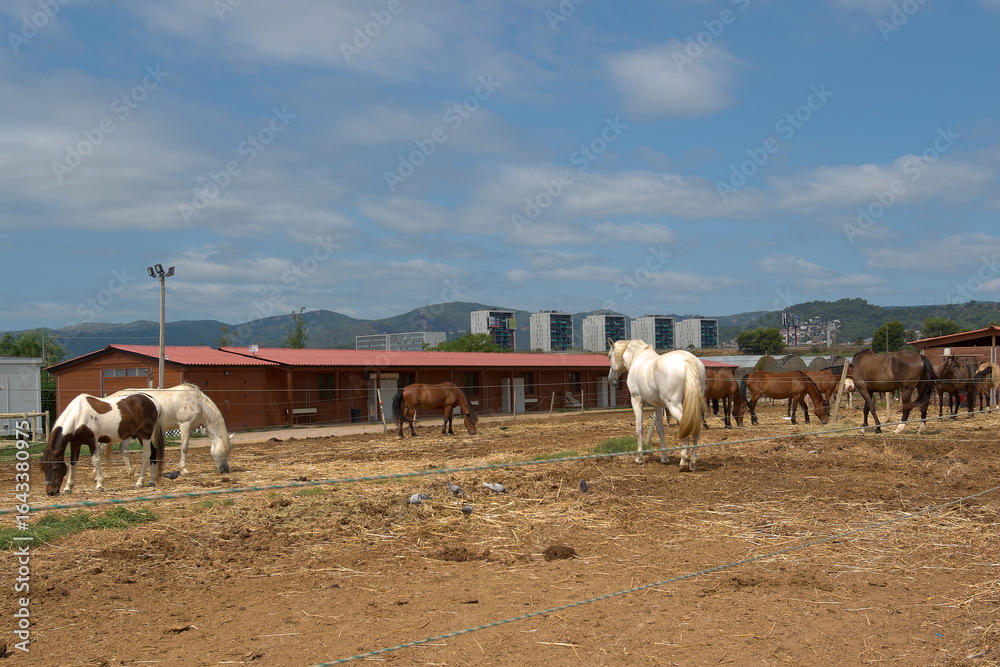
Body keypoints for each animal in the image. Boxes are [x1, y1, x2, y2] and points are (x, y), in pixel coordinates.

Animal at [607, 339, 706, 469]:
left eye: (609, 356)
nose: (610, 379)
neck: (637, 357)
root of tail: (688, 360)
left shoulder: (636, 401)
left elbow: (639, 428)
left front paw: (639, 457)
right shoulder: (657, 405)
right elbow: (660, 429)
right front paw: (664, 458)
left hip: (674, 405)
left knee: (689, 426)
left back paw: (683, 459)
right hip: (693, 405)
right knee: (696, 427)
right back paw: (693, 462)